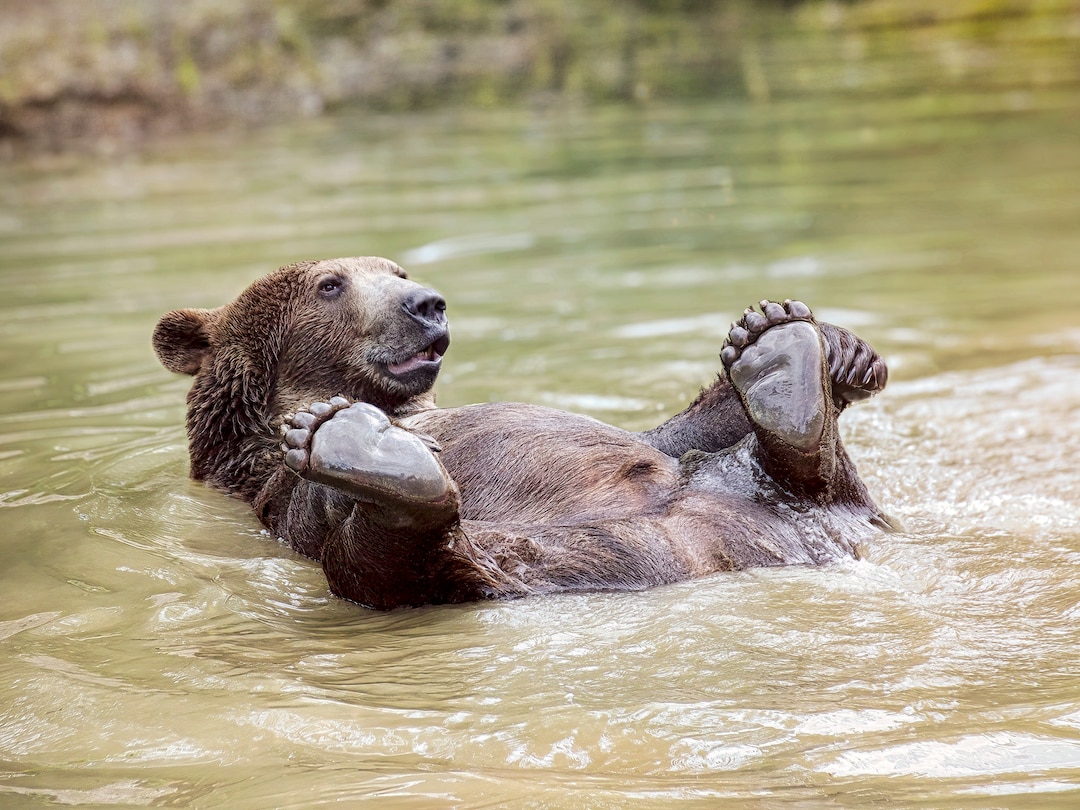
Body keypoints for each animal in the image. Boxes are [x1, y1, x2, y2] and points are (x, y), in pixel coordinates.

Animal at [153, 256, 891, 610]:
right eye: (331, 284)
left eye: (395, 271)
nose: (426, 303)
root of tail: (702, 553)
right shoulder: (272, 490)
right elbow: (309, 505)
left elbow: (663, 436)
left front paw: (842, 351)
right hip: (531, 557)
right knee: (407, 569)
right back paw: (366, 453)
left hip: (746, 497)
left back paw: (781, 359)